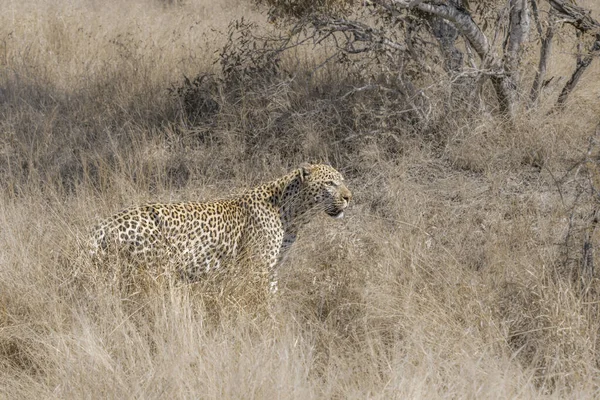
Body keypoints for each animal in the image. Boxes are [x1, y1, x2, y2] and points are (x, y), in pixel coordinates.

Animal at [89, 164, 352, 292]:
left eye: (342, 181)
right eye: (330, 183)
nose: (349, 197)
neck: (293, 215)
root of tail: (102, 225)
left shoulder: (272, 267)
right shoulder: (256, 268)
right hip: (151, 270)